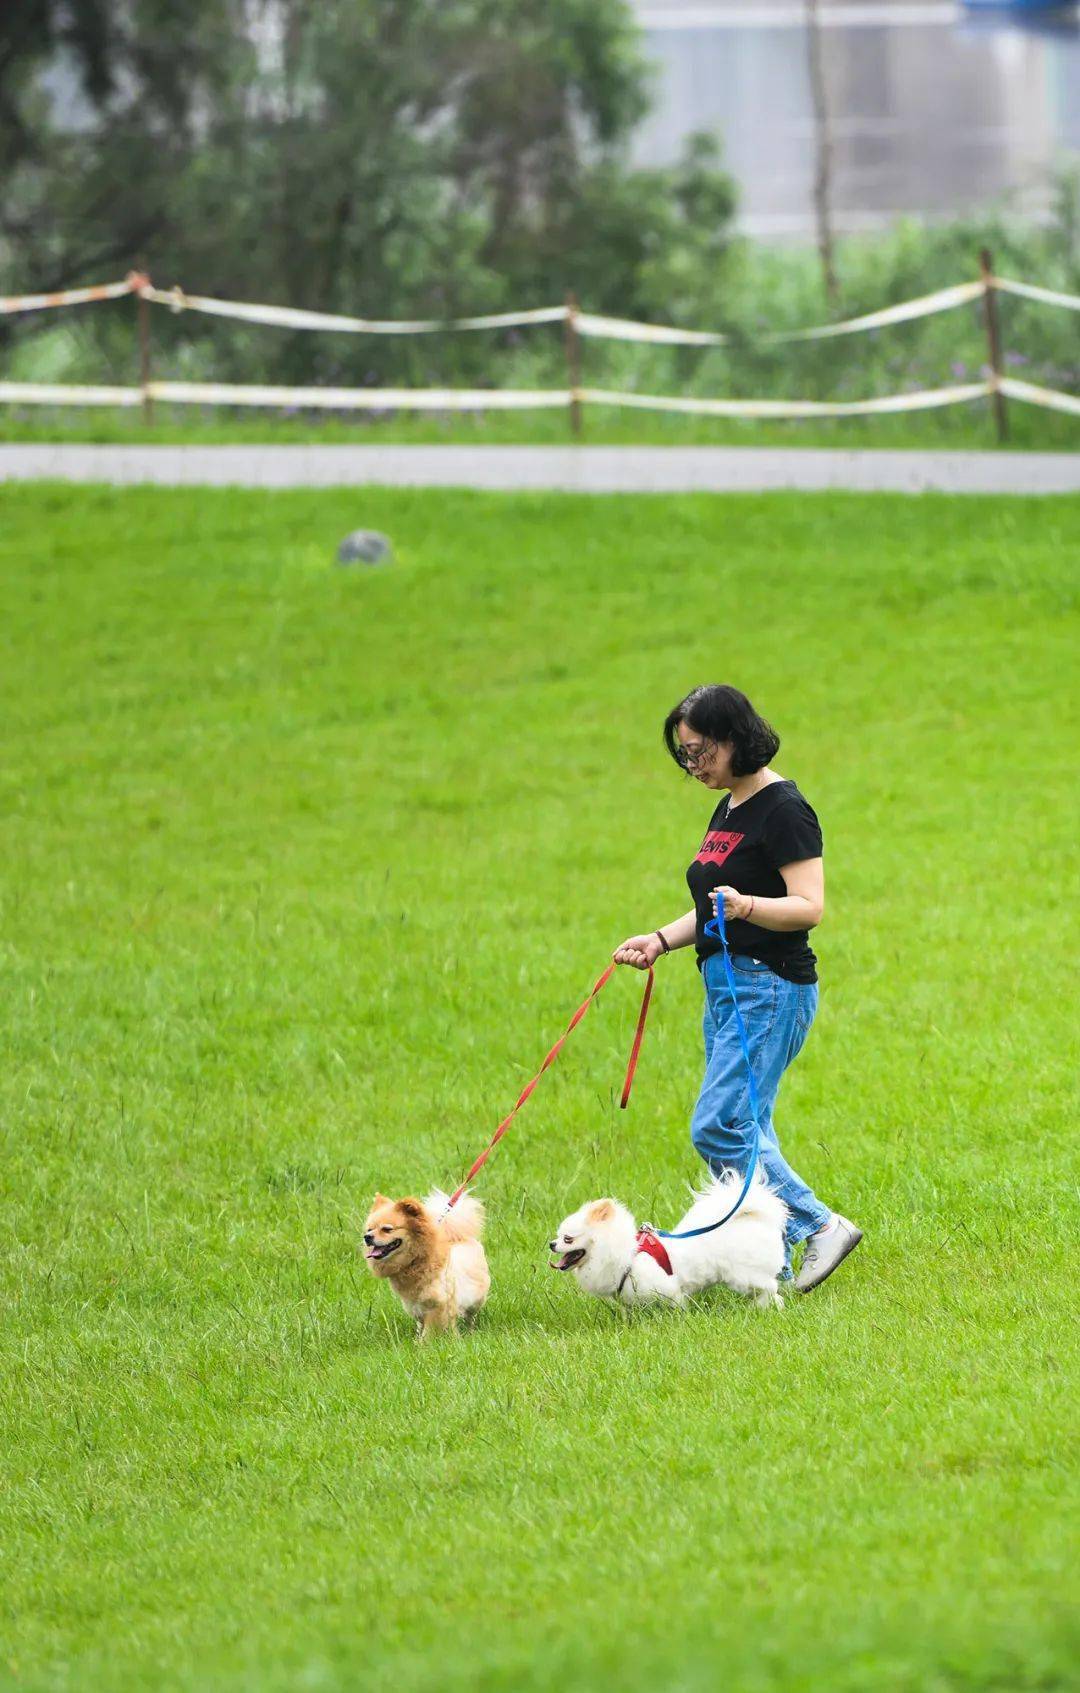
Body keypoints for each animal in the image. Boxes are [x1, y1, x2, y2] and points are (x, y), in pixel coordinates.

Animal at [363, 1185, 490, 1340]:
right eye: (369, 1229)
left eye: (387, 1229)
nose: (367, 1237)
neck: (416, 1262)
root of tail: (460, 1238)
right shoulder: (416, 1307)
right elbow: (422, 1327)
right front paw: (418, 1341)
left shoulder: (439, 1305)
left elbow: (431, 1330)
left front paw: (436, 1341)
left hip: (475, 1299)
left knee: (470, 1316)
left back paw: (470, 1331)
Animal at [555, 1178, 792, 1306]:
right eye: (558, 1235)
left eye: (568, 1238)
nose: (551, 1244)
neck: (625, 1256)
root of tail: (757, 1218)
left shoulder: (669, 1289)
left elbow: (677, 1306)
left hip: (745, 1275)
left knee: (770, 1287)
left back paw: (765, 1304)